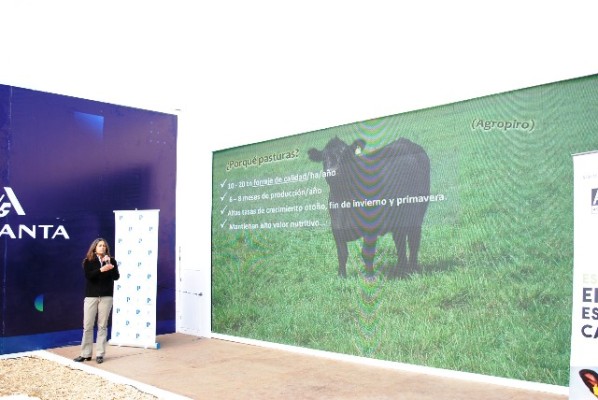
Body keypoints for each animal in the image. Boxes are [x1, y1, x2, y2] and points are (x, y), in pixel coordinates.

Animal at [310, 138, 432, 278]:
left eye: (346, 155)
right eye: (324, 158)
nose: (332, 171)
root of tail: (406, 141)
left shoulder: (371, 227)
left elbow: (366, 253)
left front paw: (369, 277)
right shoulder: (336, 226)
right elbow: (341, 253)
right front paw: (341, 276)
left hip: (417, 212)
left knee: (413, 239)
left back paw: (412, 269)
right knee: (399, 240)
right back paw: (401, 269)